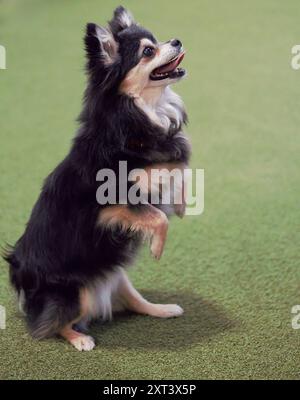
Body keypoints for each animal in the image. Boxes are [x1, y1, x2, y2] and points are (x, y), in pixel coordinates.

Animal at [4, 5, 190, 350]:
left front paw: (183, 206)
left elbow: (179, 169)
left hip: (114, 272)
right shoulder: (110, 207)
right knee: (53, 325)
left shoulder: (164, 162)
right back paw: (79, 338)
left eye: (157, 40)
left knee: (133, 302)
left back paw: (163, 309)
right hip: (79, 291)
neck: (142, 113)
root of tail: (22, 280)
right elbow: (158, 216)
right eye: (148, 51)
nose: (176, 40)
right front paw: (157, 247)